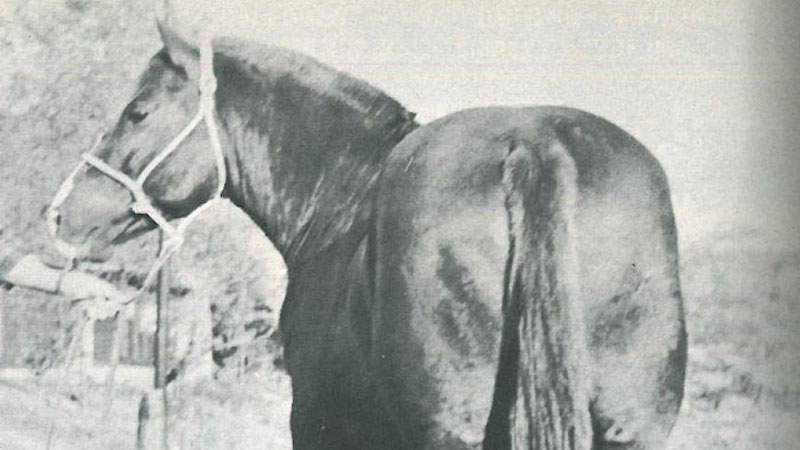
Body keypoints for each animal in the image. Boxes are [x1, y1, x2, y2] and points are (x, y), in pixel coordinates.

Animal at [51, 26, 686, 450]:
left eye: (137, 111)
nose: (61, 216)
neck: (346, 202)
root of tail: (535, 145)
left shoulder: (320, 420)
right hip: (631, 430)